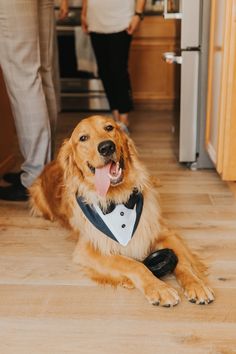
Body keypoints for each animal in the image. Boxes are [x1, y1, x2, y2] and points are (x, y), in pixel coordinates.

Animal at [29, 116, 214, 306]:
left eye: (109, 128)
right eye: (83, 138)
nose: (106, 147)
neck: (119, 200)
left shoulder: (164, 232)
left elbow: (183, 263)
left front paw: (196, 285)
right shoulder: (89, 249)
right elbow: (134, 264)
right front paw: (159, 288)